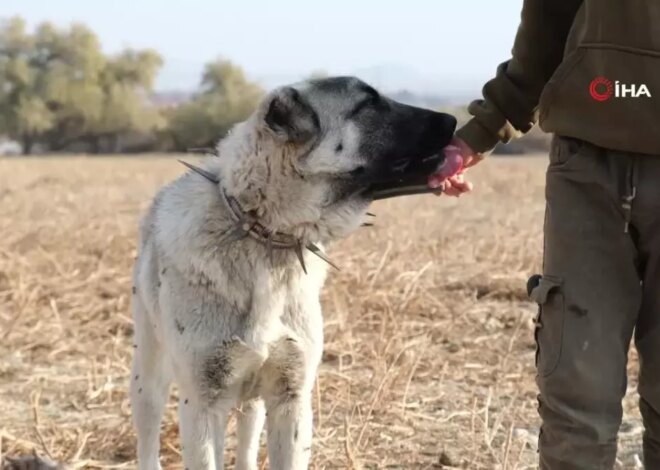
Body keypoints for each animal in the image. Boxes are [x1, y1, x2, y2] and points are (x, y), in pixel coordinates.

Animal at [131, 75, 456, 468]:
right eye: (367, 104)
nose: (453, 120)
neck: (261, 234)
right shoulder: (202, 405)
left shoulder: (291, 400)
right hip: (149, 377)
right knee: (148, 434)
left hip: (253, 399)